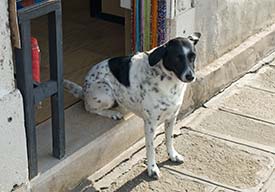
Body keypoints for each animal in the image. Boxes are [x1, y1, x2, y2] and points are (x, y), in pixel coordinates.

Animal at [65, 33, 203, 178]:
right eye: (176, 58)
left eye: (193, 56)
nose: (190, 76)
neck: (169, 81)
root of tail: (84, 89)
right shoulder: (150, 123)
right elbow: (150, 147)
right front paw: (152, 168)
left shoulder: (172, 117)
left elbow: (169, 139)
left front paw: (172, 155)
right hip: (106, 92)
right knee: (89, 107)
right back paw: (112, 113)